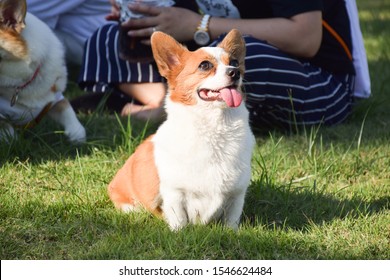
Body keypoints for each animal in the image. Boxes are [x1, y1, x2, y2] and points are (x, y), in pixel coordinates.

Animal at [108, 29, 254, 230]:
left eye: (234, 62)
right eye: (205, 65)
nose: (236, 72)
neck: (214, 127)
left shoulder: (237, 193)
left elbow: (231, 219)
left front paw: (232, 232)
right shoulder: (174, 192)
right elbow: (179, 218)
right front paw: (179, 232)